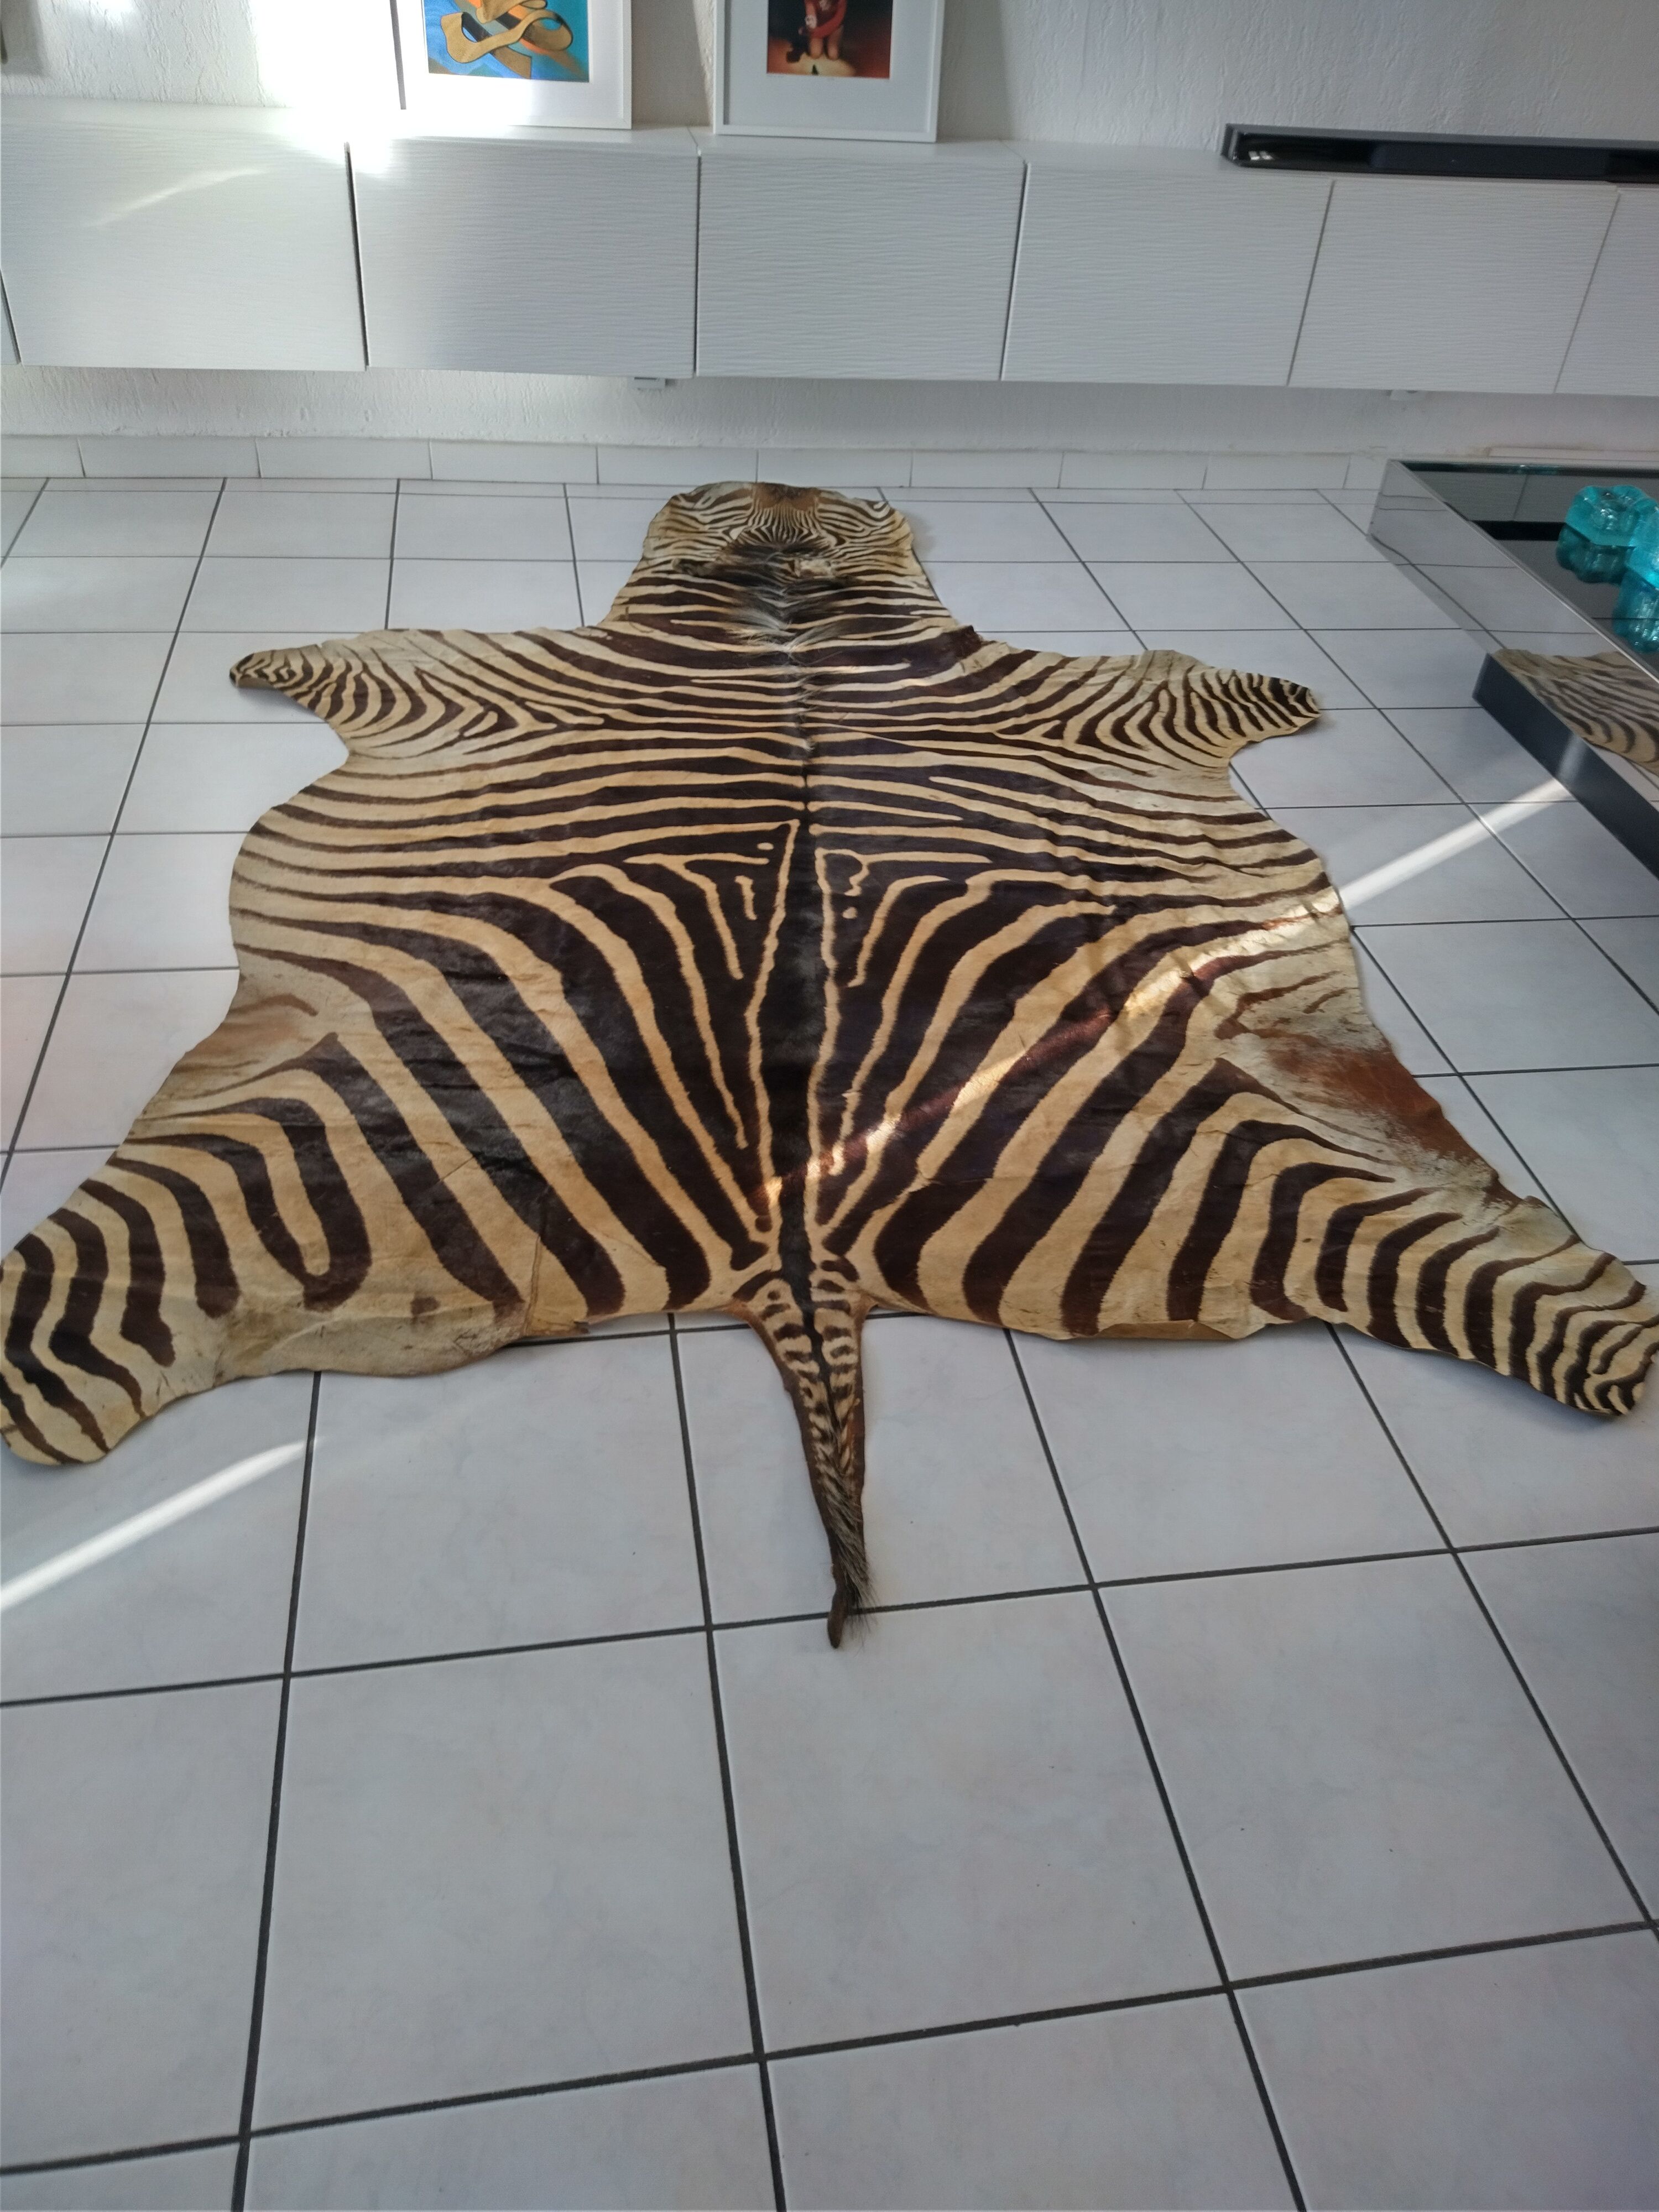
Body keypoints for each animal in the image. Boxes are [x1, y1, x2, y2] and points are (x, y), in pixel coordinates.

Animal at [4, 482, 1656, 1643]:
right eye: (745, 506)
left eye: (811, 510)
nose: (784, 479)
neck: (785, 611)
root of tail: (798, 1245)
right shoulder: (487, 671)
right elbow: (357, 646)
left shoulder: (1084, 691)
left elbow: (1209, 682)